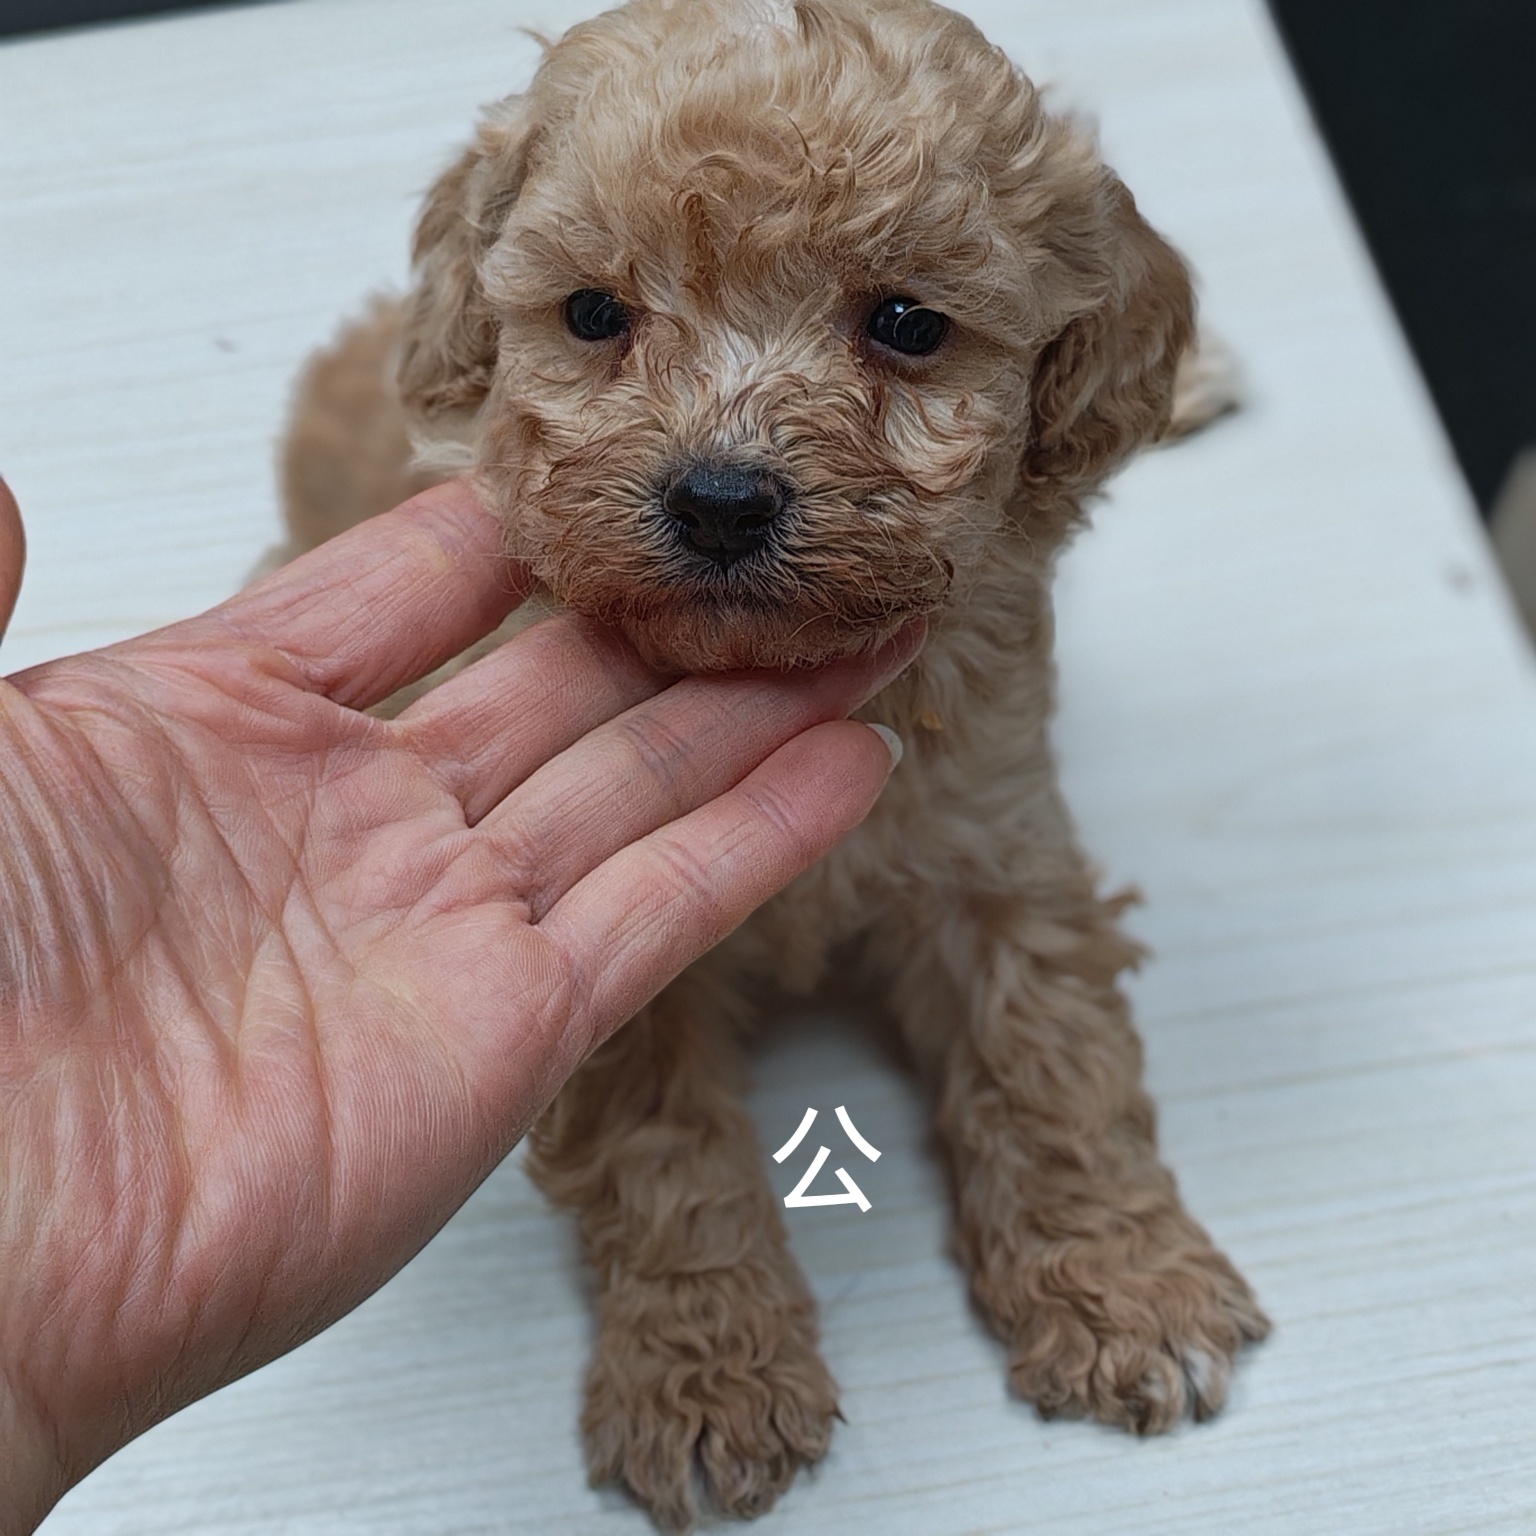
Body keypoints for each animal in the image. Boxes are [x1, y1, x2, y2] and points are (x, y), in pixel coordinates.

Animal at [275, 1, 1266, 1526]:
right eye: (595, 315)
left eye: (908, 324)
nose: (723, 499)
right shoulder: (610, 952)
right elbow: (664, 1153)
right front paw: (705, 1377)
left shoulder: (996, 842)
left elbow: (1053, 1059)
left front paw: (1125, 1286)